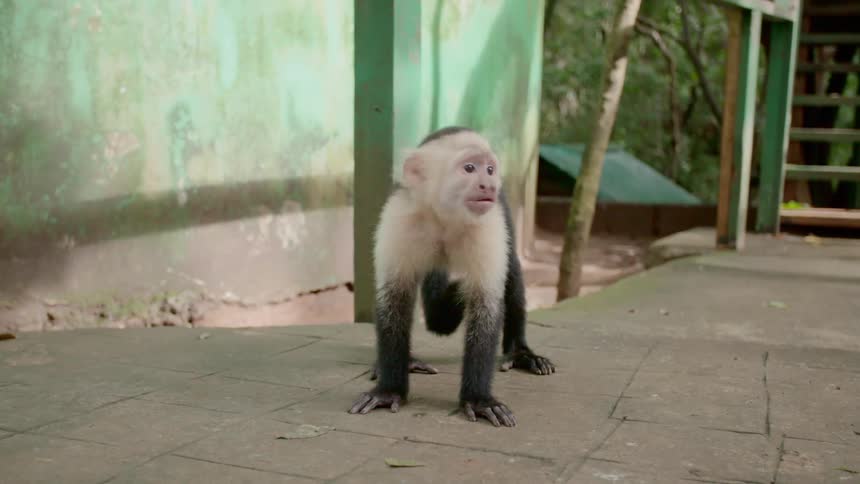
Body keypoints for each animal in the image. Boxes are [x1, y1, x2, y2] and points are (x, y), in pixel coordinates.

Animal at [348, 126, 555, 427]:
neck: (444, 217)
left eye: (489, 169)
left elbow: (486, 306)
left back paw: (520, 352)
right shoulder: (401, 217)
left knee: (512, 272)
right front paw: (389, 390)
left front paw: (479, 400)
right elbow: (394, 300)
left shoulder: (489, 225)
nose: (488, 185)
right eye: (469, 168)